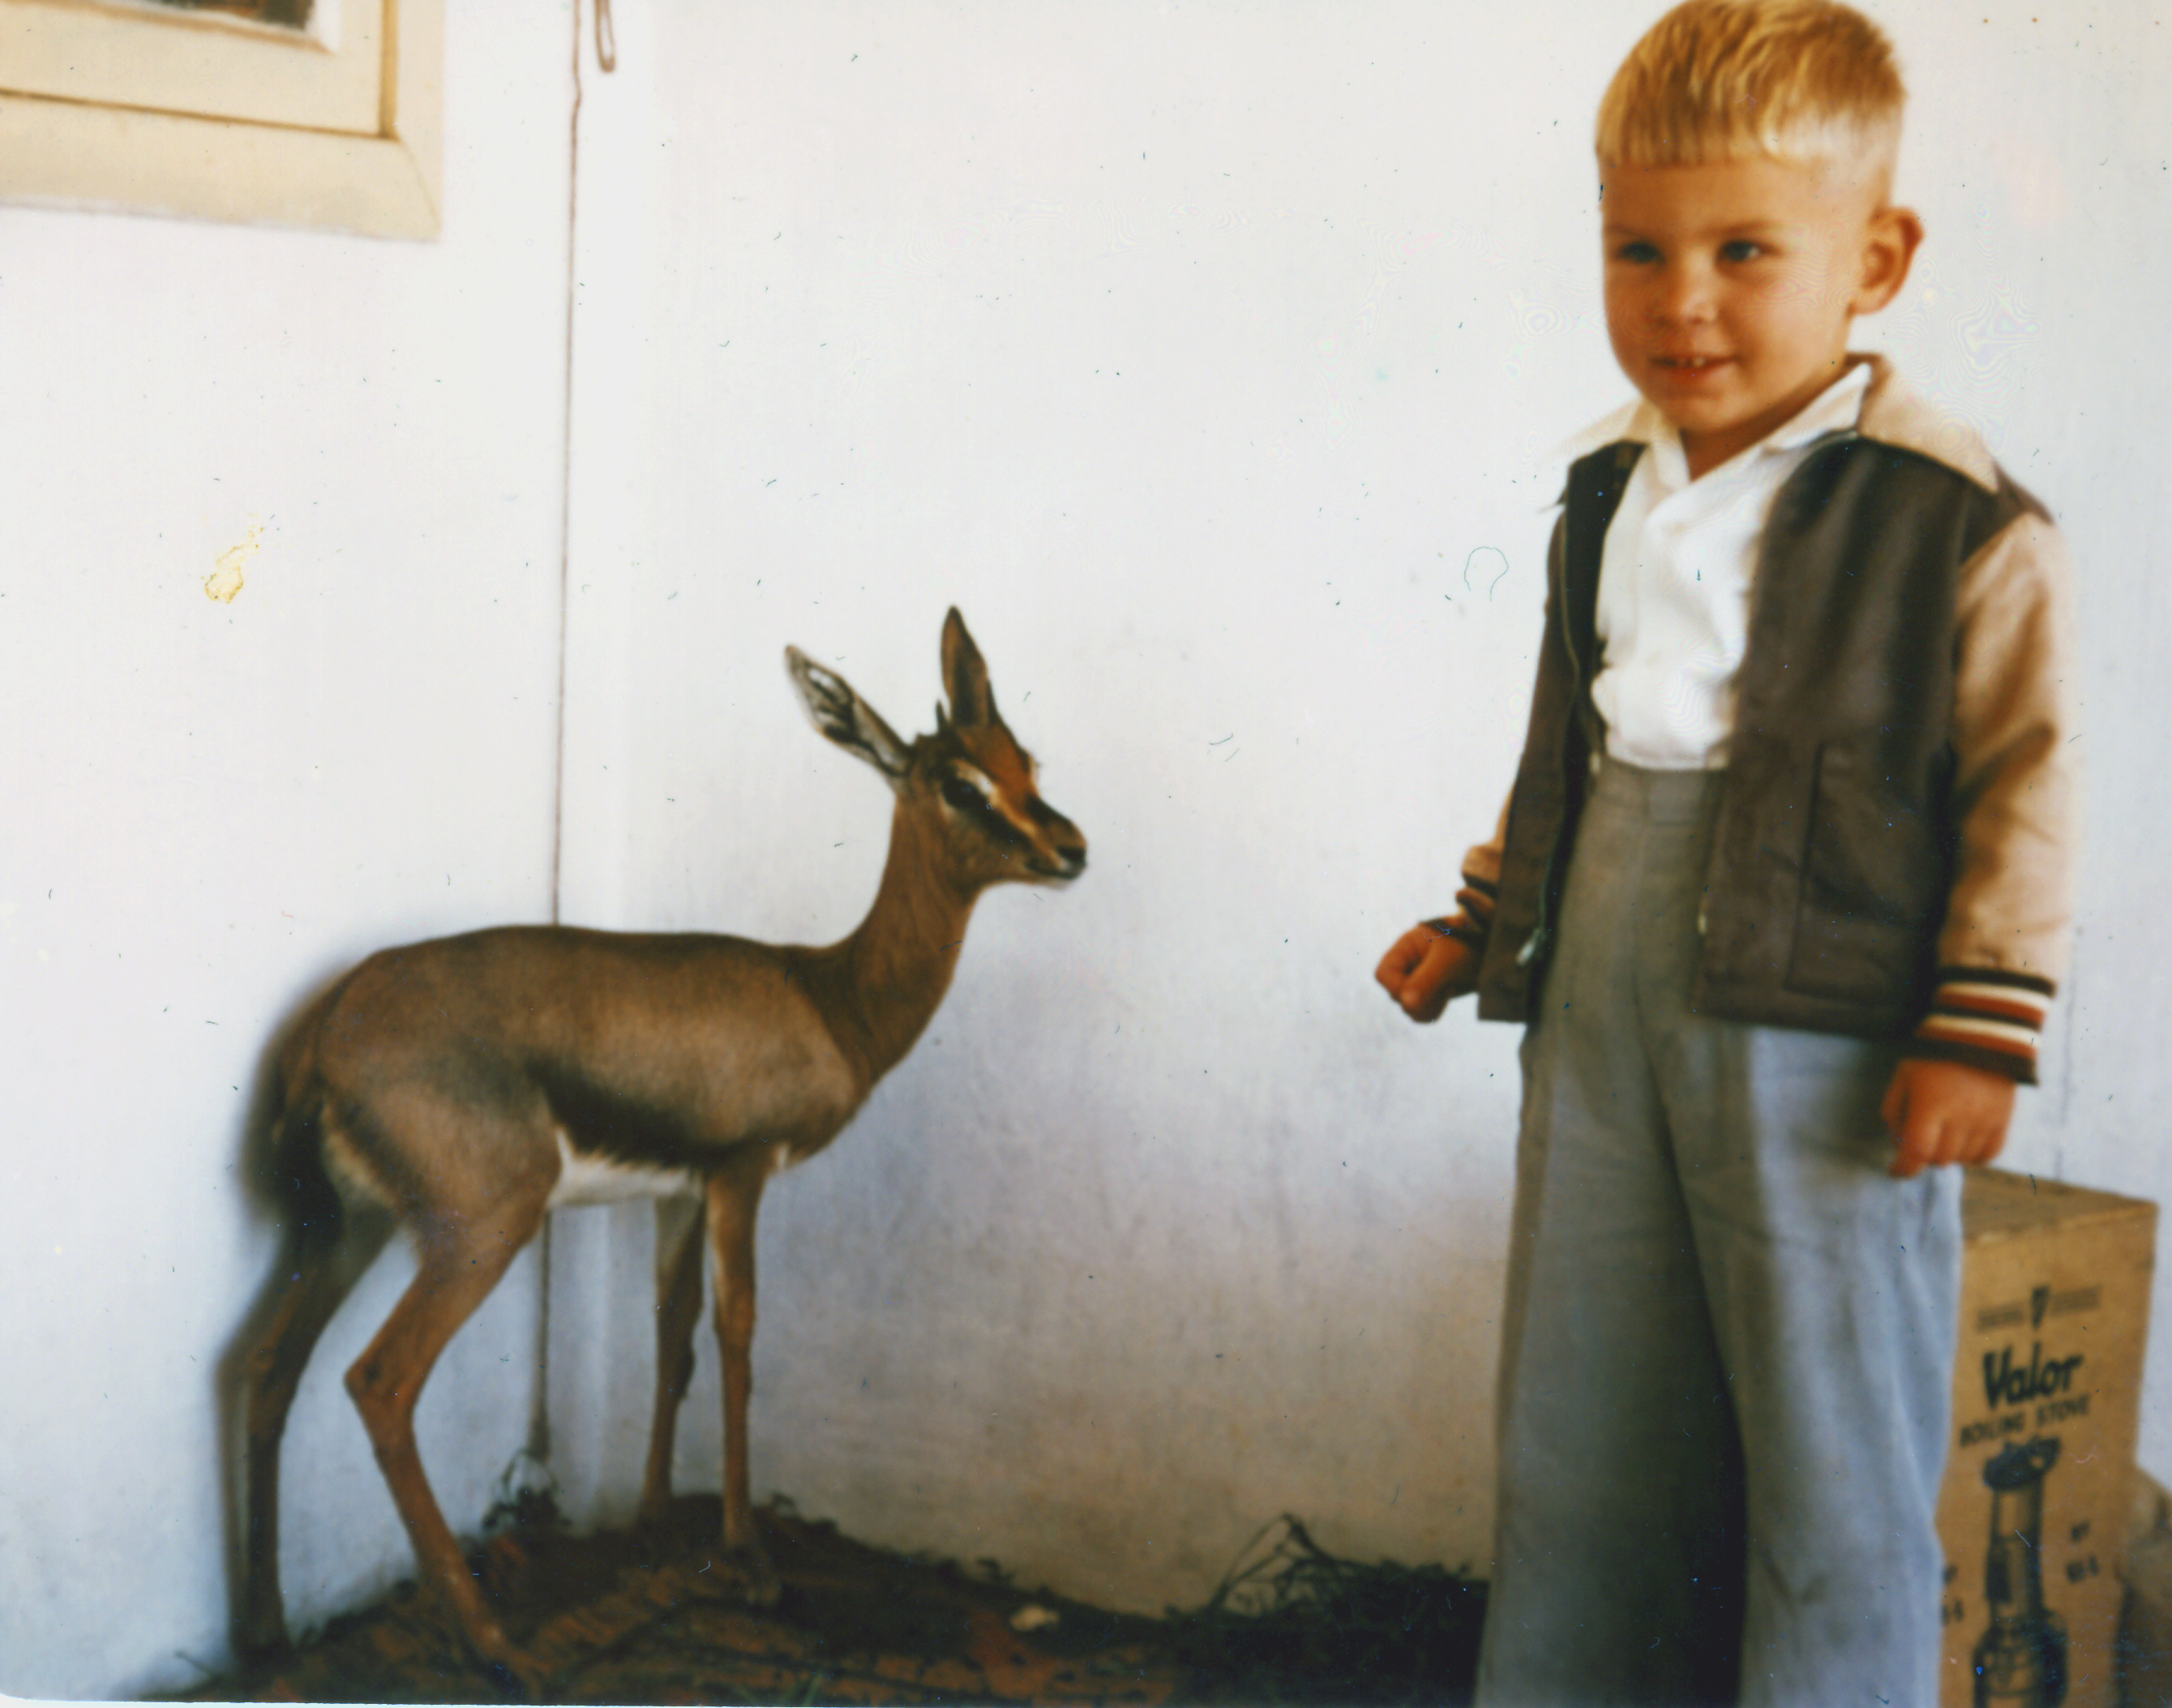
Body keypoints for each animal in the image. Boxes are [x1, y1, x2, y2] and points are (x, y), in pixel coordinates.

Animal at [233, 612, 1082, 1677]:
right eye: (960, 783)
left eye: (1026, 761)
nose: (1070, 848)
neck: (827, 999)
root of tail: (327, 1027)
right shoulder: (743, 1172)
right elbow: (737, 1336)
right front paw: (750, 1558)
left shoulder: (678, 1191)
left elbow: (670, 1336)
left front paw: (648, 1525)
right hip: (480, 1228)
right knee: (378, 1381)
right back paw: (492, 1642)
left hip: (349, 1228)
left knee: (267, 1368)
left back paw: (266, 1634)